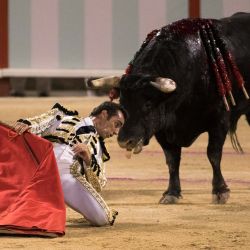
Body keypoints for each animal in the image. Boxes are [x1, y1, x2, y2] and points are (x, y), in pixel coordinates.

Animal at [94, 11, 250, 204]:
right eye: (122, 103)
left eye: (147, 104)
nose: (124, 141)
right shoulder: (163, 127)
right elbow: (172, 160)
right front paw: (172, 193)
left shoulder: (219, 119)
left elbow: (213, 154)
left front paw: (220, 191)